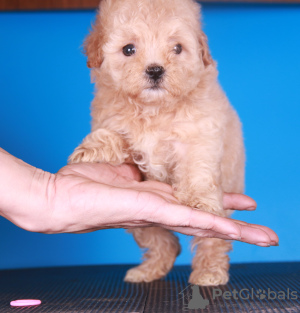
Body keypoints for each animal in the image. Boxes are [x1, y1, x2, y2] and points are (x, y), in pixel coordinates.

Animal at [69, 0, 245, 286]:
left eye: (177, 48)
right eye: (129, 49)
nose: (155, 70)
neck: (153, 108)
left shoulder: (199, 133)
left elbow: (196, 165)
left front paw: (198, 199)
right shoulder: (114, 120)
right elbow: (113, 135)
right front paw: (91, 151)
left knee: (213, 240)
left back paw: (209, 272)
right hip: (136, 217)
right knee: (161, 240)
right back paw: (149, 270)